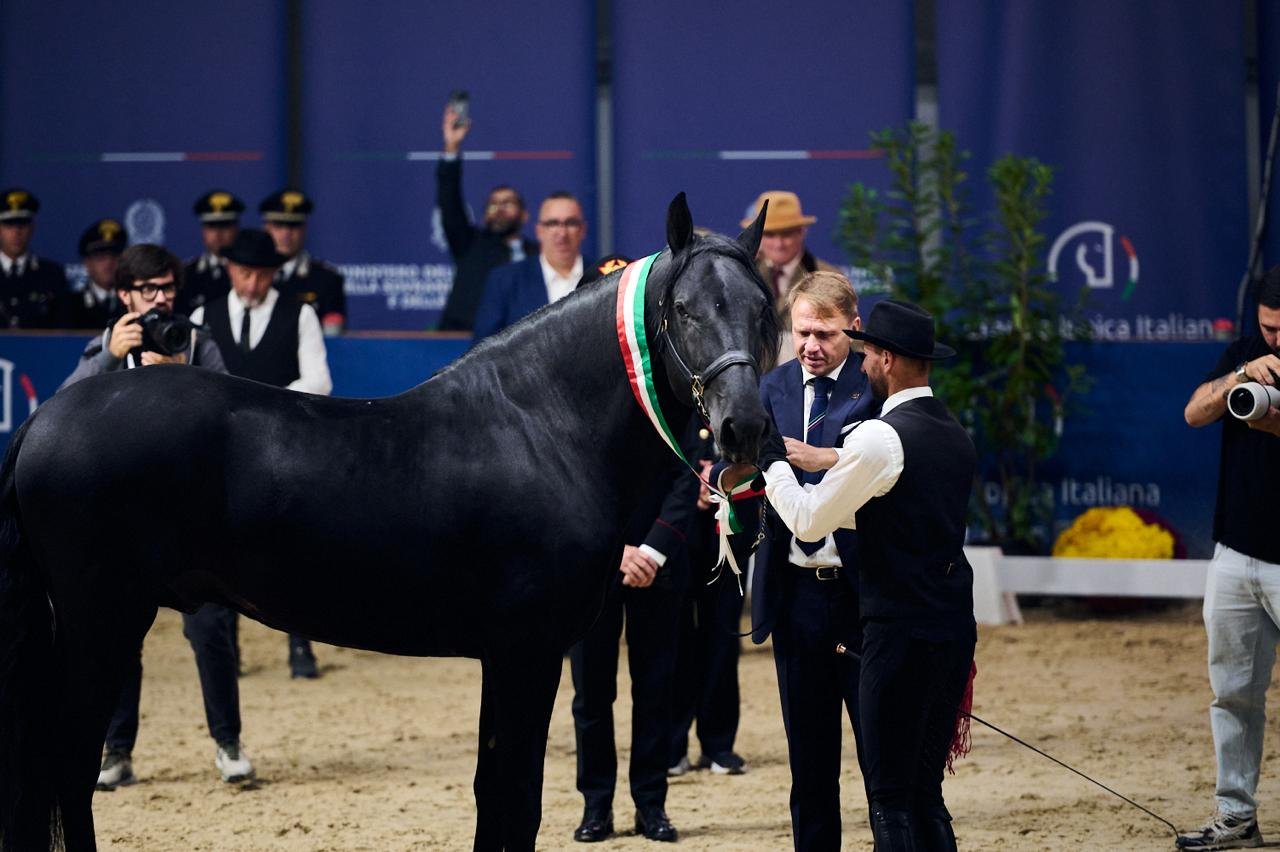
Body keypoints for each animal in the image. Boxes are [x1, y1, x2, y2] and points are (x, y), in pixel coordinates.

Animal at [0, 192, 778, 851]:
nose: (741, 428)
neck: (542, 426)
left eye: (761, 307)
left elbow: (494, 794)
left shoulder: (507, 655)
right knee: (67, 766)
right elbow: (516, 799)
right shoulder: (526, 650)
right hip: (102, 620)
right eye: (684, 308)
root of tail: (40, 422)